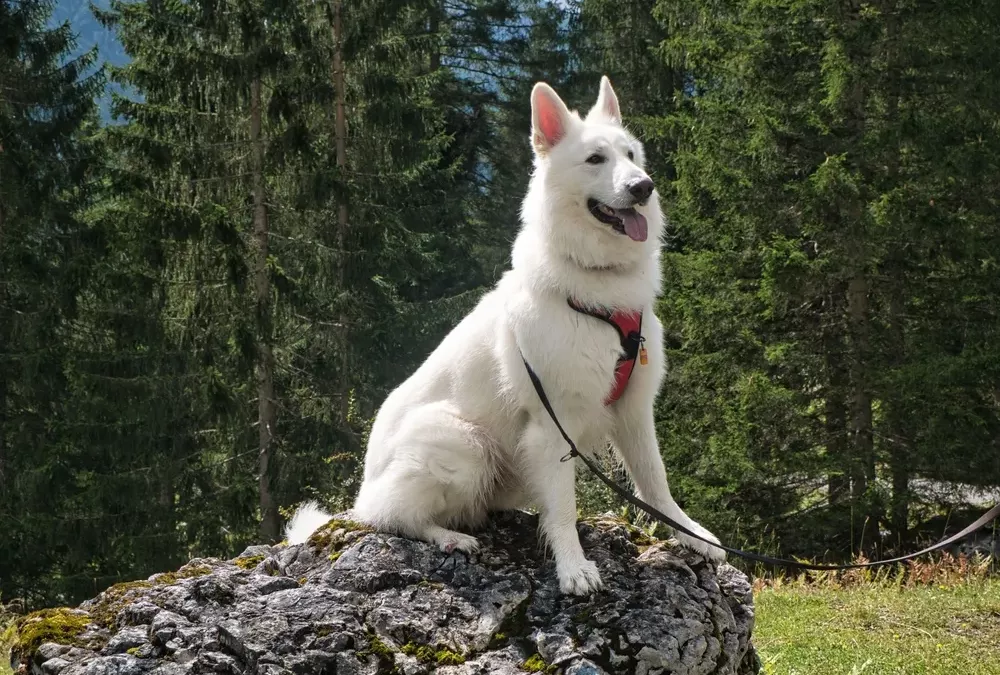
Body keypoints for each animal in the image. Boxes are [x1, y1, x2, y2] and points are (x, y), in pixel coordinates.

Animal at [286, 75, 724, 596]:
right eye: (595, 159)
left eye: (631, 155)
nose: (643, 187)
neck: (597, 286)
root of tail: (363, 488)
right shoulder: (553, 426)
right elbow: (565, 508)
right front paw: (573, 567)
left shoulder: (634, 410)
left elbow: (657, 483)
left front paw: (691, 534)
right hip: (465, 443)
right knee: (388, 516)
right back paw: (448, 537)